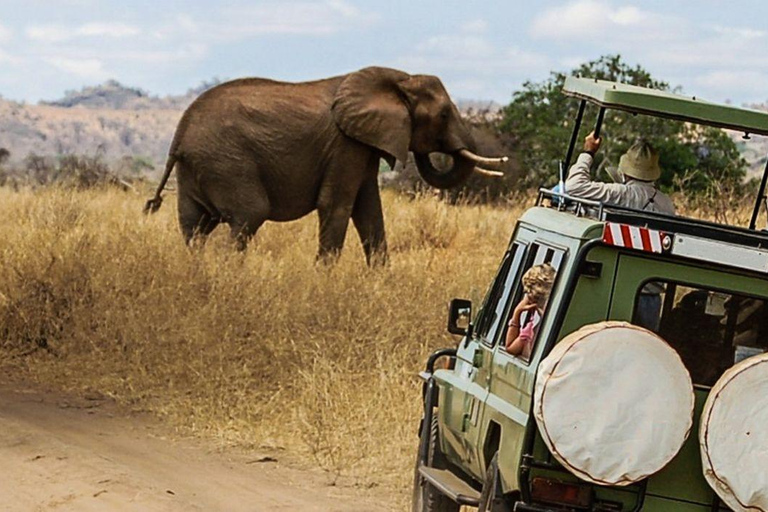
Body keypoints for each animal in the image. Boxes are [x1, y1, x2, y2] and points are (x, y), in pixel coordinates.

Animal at [145, 66, 508, 264]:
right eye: (444, 114)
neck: (398, 79)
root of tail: (180, 134)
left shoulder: (362, 144)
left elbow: (369, 209)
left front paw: (380, 280)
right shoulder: (345, 145)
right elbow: (336, 205)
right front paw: (324, 280)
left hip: (198, 167)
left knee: (194, 226)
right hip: (227, 163)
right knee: (248, 214)